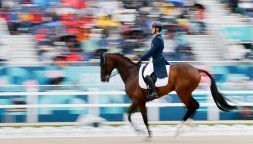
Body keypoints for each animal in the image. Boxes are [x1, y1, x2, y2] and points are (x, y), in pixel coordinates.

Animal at [99, 52, 237, 137]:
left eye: (103, 64)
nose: (102, 79)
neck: (131, 74)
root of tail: (196, 69)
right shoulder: (140, 101)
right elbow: (140, 117)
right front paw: (146, 133)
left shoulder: (137, 100)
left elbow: (132, 116)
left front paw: (142, 132)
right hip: (185, 93)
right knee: (193, 106)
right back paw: (190, 127)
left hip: (183, 92)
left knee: (192, 106)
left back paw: (179, 129)